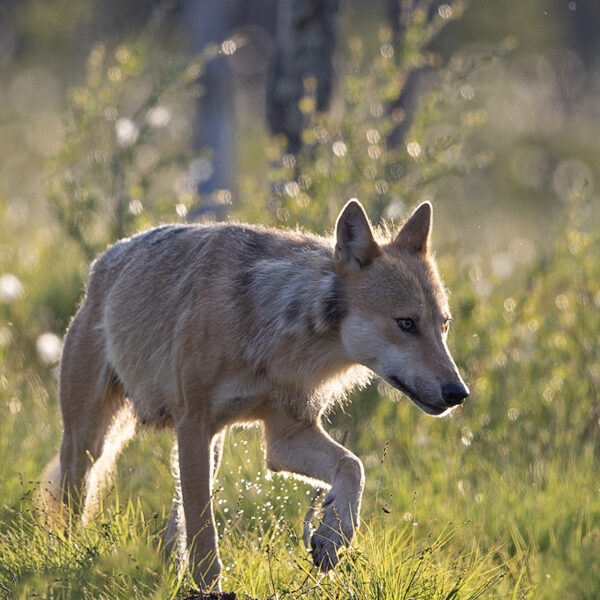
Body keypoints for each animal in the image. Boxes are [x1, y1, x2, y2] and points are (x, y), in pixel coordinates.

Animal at [47, 200, 468, 592]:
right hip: (92, 443)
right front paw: (211, 591)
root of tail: (105, 260)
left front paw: (332, 537)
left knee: (176, 519)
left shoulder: (284, 438)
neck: (280, 339)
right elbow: (206, 536)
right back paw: (66, 557)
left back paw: (170, 570)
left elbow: (353, 466)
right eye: (406, 323)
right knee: (73, 500)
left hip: (209, 448)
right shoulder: (195, 425)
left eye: (444, 326)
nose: (458, 393)